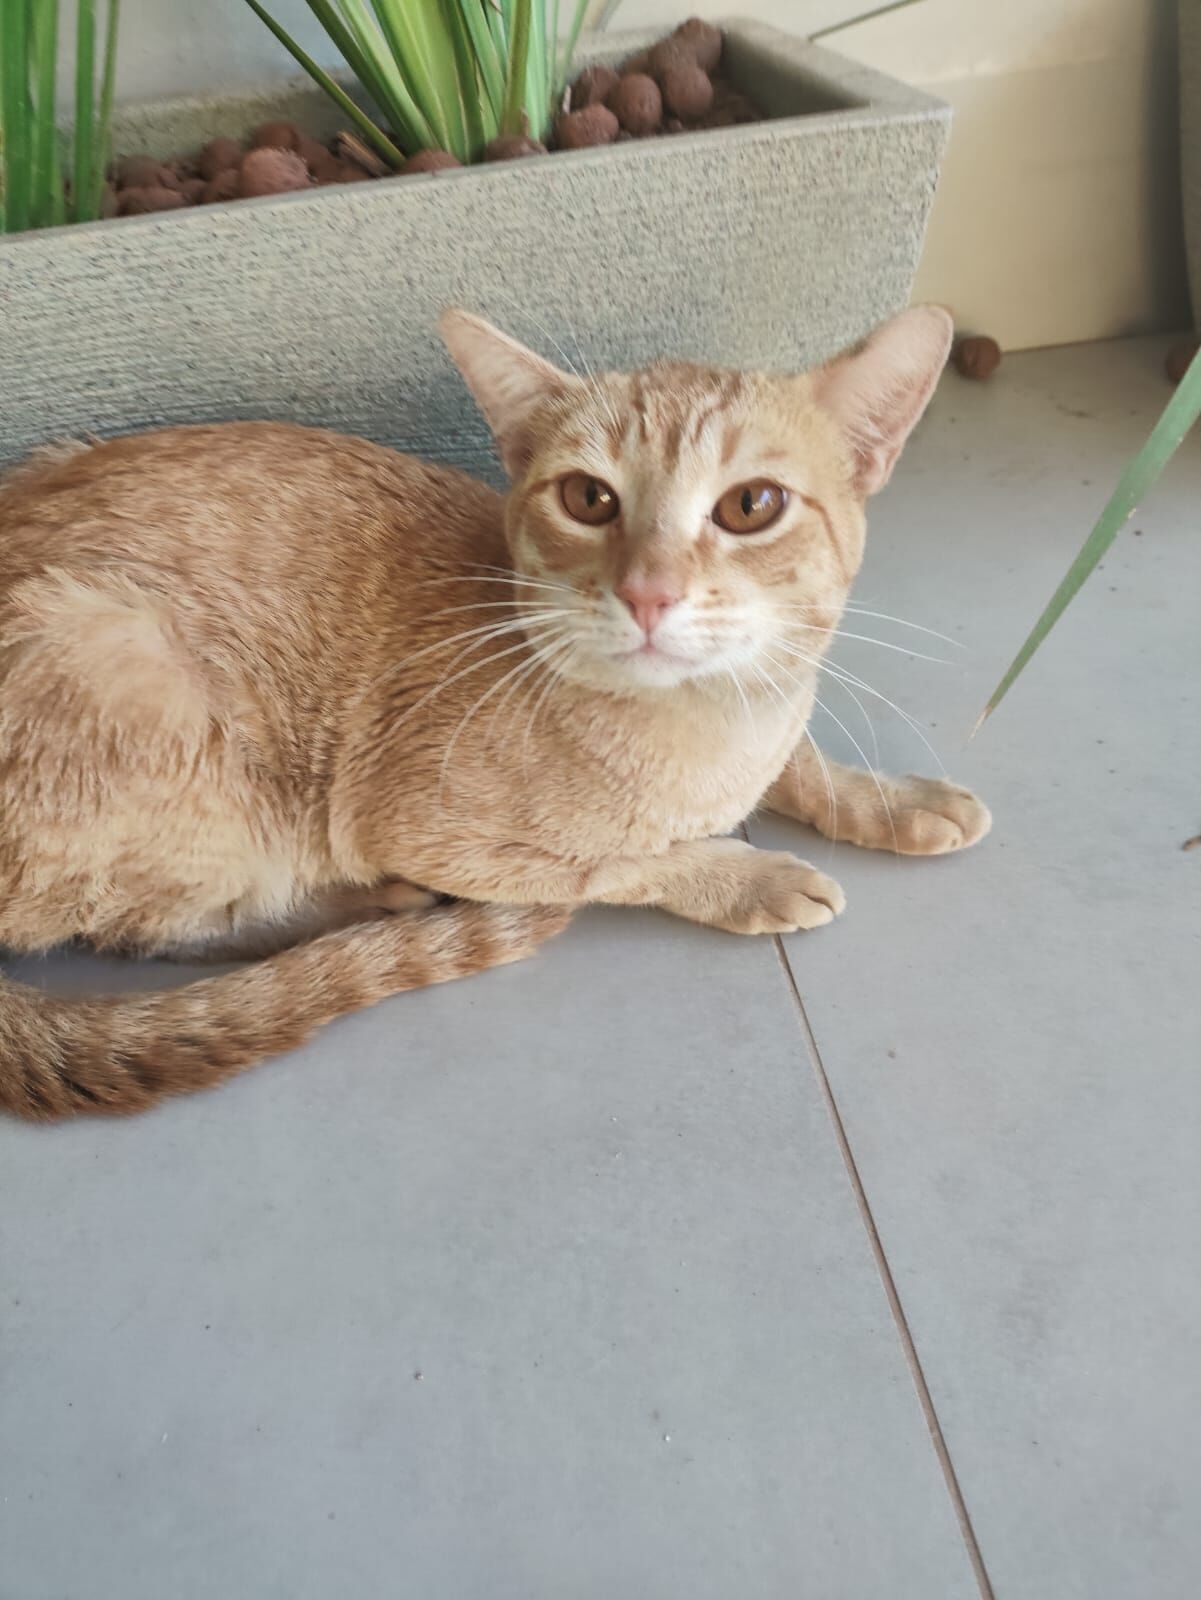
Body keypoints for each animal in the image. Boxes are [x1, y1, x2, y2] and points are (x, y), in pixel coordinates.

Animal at [0, 305, 989, 1122]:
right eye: (589, 498)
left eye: (752, 505)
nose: (648, 593)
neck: (715, 732)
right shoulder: (433, 834)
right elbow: (623, 863)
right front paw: (746, 877)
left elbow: (803, 763)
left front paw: (894, 801)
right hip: (135, 671)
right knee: (151, 932)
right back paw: (368, 907)